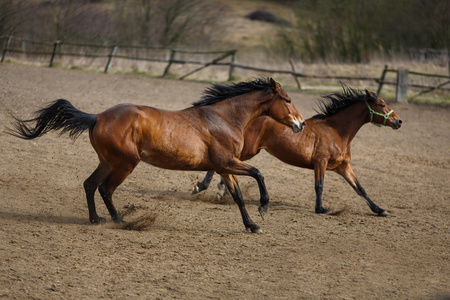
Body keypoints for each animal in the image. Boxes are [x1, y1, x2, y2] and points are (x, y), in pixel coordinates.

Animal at [7, 78, 306, 233]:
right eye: (288, 100)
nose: (301, 124)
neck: (223, 118)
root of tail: (97, 117)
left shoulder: (224, 167)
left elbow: (238, 197)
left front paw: (252, 225)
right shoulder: (228, 162)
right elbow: (259, 174)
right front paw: (263, 208)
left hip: (108, 161)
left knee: (90, 184)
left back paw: (95, 219)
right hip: (126, 163)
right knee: (105, 188)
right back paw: (120, 221)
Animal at [192, 86, 402, 216]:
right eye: (382, 104)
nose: (399, 121)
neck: (336, 131)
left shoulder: (343, 166)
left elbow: (360, 188)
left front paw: (379, 210)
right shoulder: (320, 162)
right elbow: (319, 186)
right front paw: (321, 209)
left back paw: (217, 189)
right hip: (248, 150)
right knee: (221, 164)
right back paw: (204, 187)